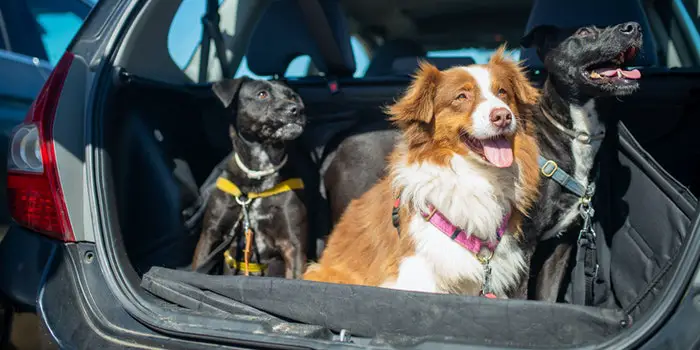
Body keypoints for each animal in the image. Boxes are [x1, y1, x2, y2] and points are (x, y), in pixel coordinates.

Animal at [194, 78, 308, 278]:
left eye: (293, 96)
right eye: (262, 94)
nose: (297, 109)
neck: (259, 175)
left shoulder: (293, 245)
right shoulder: (210, 235)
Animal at [520, 21, 640, 300]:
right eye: (584, 32)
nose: (634, 27)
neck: (579, 135)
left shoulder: (561, 245)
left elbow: (548, 298)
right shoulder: (519, 247)